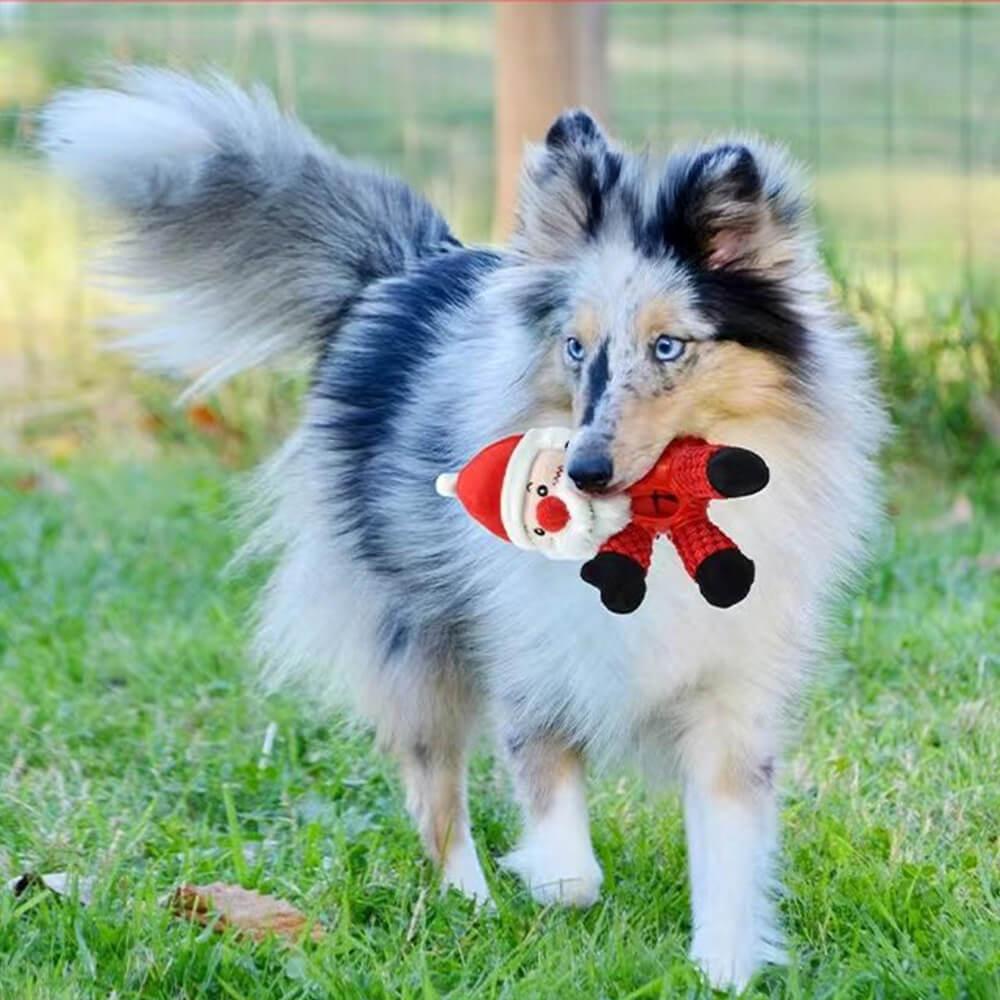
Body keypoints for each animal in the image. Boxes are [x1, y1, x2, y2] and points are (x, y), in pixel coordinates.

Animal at [39, 72, 888, 992]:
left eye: (669, 347)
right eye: (574, 347)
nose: (584, 470)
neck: (652, 523)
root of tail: (403, 272)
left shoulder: (734, 693)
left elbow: (729, 848)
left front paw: (723, 968)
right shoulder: (529, 650)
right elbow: (561, 838)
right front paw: (551, 882)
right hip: (418, 638)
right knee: (433, 785)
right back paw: (468, 903)